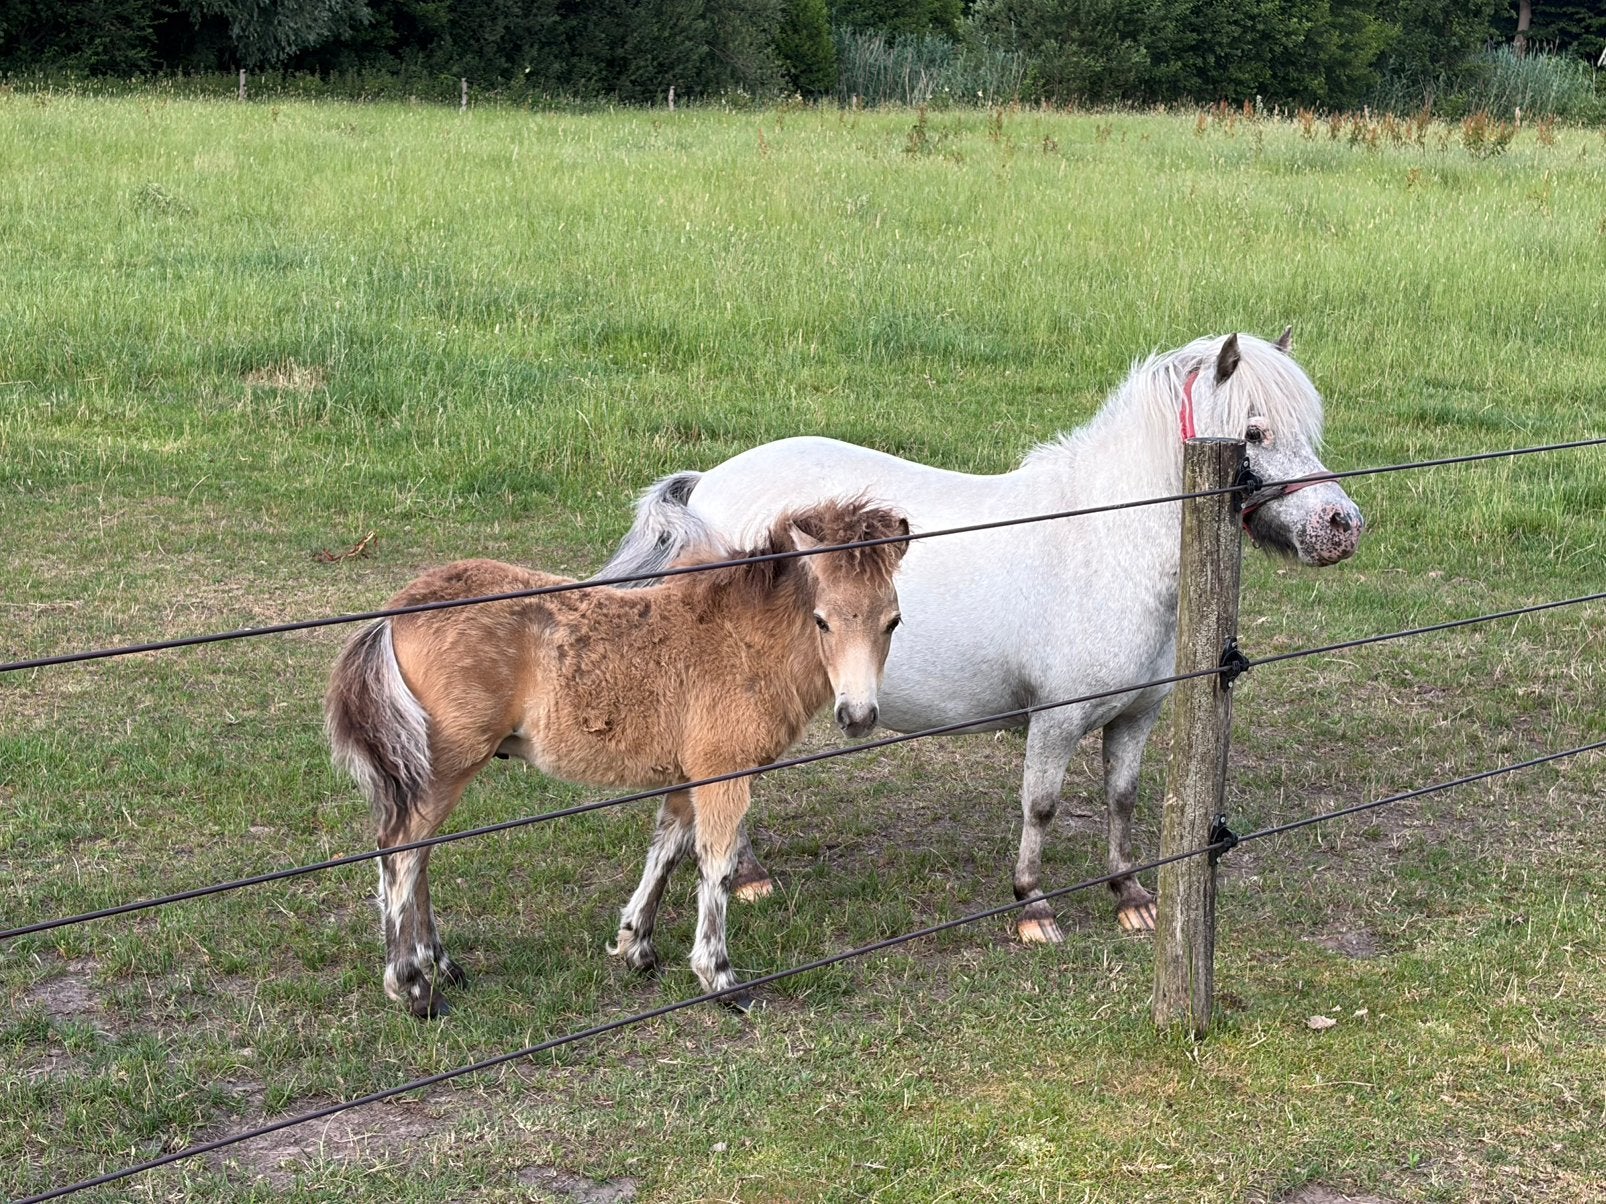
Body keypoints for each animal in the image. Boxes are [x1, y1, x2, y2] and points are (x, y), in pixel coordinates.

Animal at [326, 499, 909, 1018]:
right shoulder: (722, 773)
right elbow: (716, 866)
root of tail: (393, 616)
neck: (742, 640)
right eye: (822, 621)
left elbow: (666, 852)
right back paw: (415, 989)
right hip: (449, 764)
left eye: (893, 622)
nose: (858, 716)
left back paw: (444, 967)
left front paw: (636, 947)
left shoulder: (686, 776)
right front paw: (720, 980)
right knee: (400, 853)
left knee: (417, 854)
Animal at [599, 329, 1364, 941]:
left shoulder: (1137, 717)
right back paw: (748, 874)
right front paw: (1033, 907)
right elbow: (1042, 806)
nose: (1341, 525)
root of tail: (707, 488)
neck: (1102, 541)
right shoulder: (1056, 721)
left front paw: (1130, 896)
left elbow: (1121, 798)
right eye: (1255, 432)